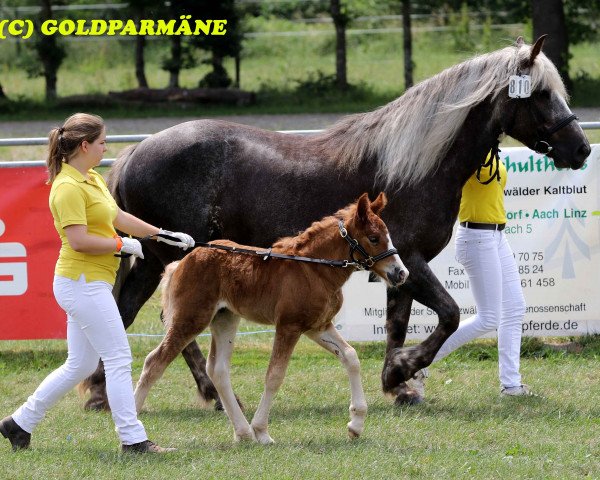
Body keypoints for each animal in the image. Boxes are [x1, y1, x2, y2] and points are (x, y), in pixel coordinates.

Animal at [134, 192, 410, 442]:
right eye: (374, 238)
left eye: (387, 235)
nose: (401, 273)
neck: (314, 270)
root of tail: (182, 262)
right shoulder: (289, 326)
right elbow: (275, 375)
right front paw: (262, 431)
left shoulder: (318, 326)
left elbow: (351, 357)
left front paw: (356, 424)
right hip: (190, 319)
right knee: (154, 362)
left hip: (225, 318)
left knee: (218, 370)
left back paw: (242, 433)